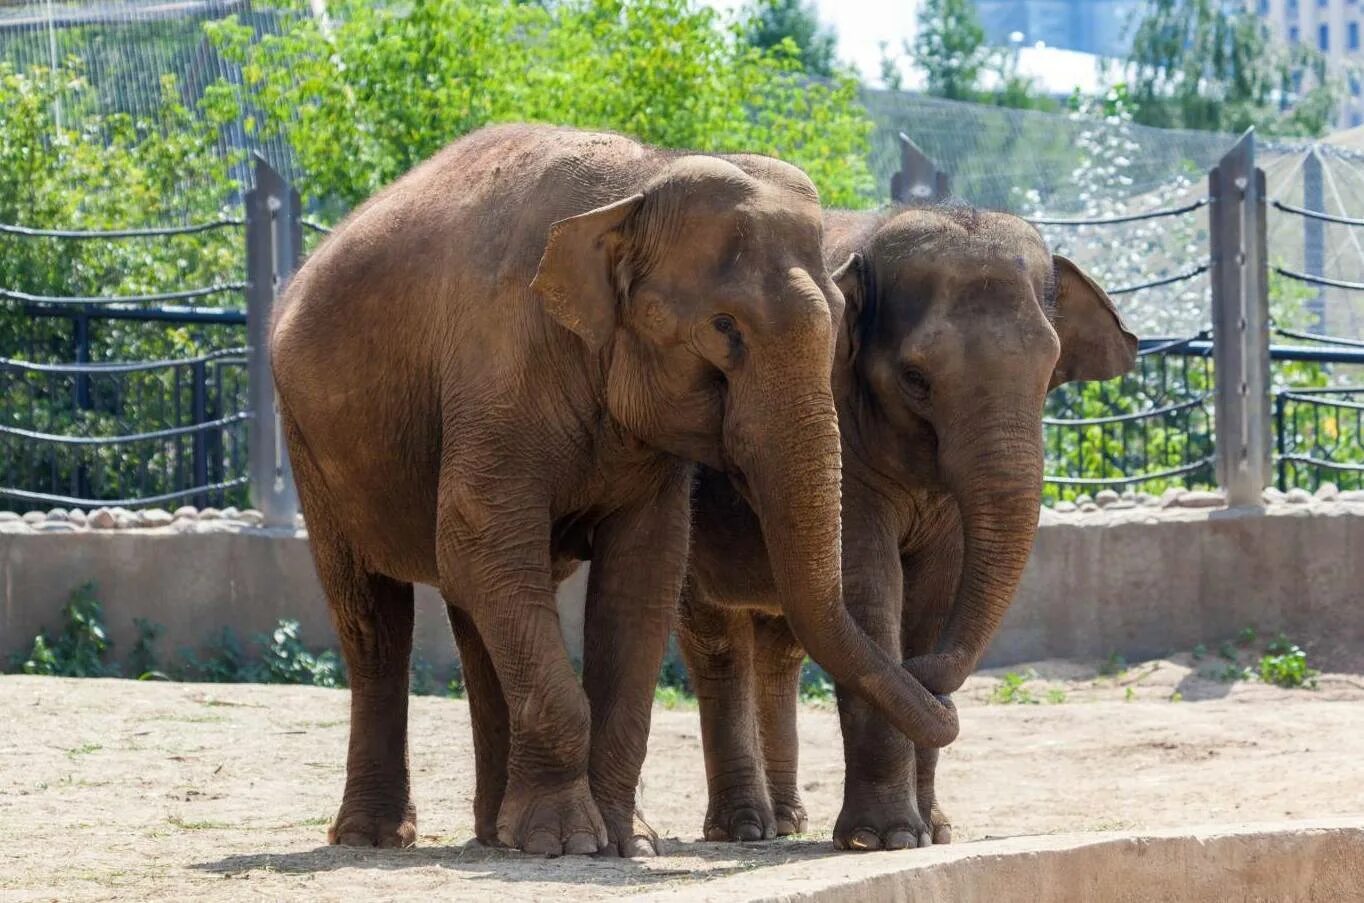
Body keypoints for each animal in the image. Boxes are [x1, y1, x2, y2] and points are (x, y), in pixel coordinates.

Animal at [268, 124, 960, 862]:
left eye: (838, 320)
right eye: (723, 327)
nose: (941, 694)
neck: (637, 188)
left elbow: (642, 571)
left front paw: (627, 842)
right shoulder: (495, 370)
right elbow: (480, 539)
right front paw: (568, 841)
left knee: (477, 610)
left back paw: (495, 835)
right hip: (309, 442)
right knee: (375, 616)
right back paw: (376, 836)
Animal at [679, 201, 1140, 851]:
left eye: (1051, 368)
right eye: (916, 379)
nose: (929, 685)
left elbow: (935, 593)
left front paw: (936, 832)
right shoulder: (839, 430)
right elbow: (869, 586)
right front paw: (886, 839)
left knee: (783, 648)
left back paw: (789, 820)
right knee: (717, 642)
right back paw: (744, 829)